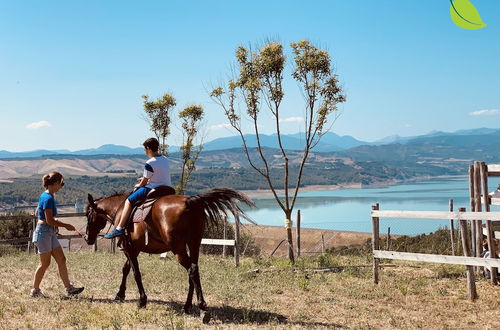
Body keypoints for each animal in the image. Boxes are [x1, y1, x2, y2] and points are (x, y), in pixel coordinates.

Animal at [85, 188, 254, 320]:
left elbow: (136, 273)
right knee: (194, 270)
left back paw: (201, 307)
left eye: (88, 215)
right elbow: (126, 269)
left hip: (178, 248)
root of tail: (189, 202)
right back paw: (187, 306)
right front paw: (120, 294)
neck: (120, 209)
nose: (87, 238)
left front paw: (142, 300)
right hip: (194, 244)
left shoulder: (129, 249)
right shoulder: (134, 249)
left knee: (192, 271)